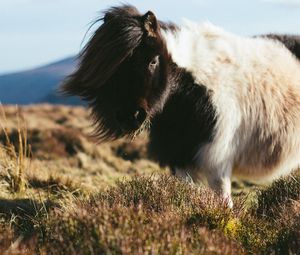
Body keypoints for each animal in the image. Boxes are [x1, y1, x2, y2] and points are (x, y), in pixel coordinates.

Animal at [61, 4, 300, 206]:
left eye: (153, 61)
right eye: (115, 67)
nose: (131, 116)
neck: (193, 87)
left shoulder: (217, 159)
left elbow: (223, 202)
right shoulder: (178, 156)